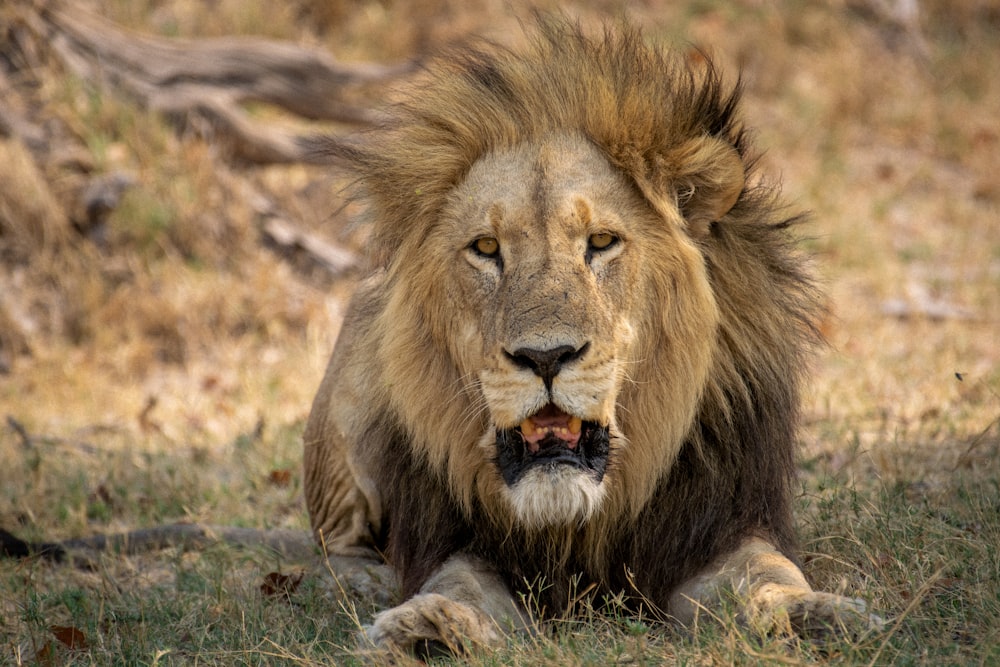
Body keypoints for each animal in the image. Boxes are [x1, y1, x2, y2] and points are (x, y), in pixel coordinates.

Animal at [302, 17, 876, 656]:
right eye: (486, 248)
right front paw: (426, 627)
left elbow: (768, 574)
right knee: (336, 547)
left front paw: (817, 616)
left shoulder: (724, 524)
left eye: (601, 242)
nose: (545, 356)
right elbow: (457, 586)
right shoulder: (459, 541)